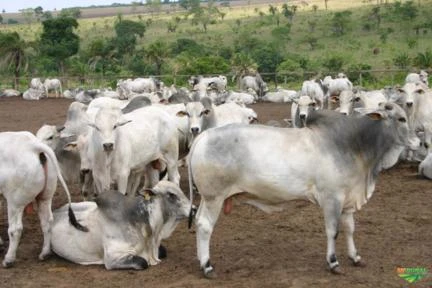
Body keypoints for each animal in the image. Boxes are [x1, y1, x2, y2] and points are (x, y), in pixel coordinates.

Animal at [0, 132, 86, 266]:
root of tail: (33, 146)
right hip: (45, 198)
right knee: (47, 221)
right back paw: (45, 253)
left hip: (15, 203)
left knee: (15, 229)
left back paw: (9, 259)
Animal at [49, 182, 192, 270]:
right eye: (171, 195)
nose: (194, 209)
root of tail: (55, 212)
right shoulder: (113, 258)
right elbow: (142, 262)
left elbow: (163, 251)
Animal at [189, 102, 412, 278]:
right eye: (401, 118)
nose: (417, 141)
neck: (353, 145)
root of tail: (203, 136)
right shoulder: (332, 199)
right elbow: (333, 231)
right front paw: (333, 262)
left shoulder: (347, 200)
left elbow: (350, 229)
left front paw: (355, 257)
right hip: (214, 198)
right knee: (205, 226)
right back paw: (207, 266)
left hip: (207, 199)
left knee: (198, 222)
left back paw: (200, 260)